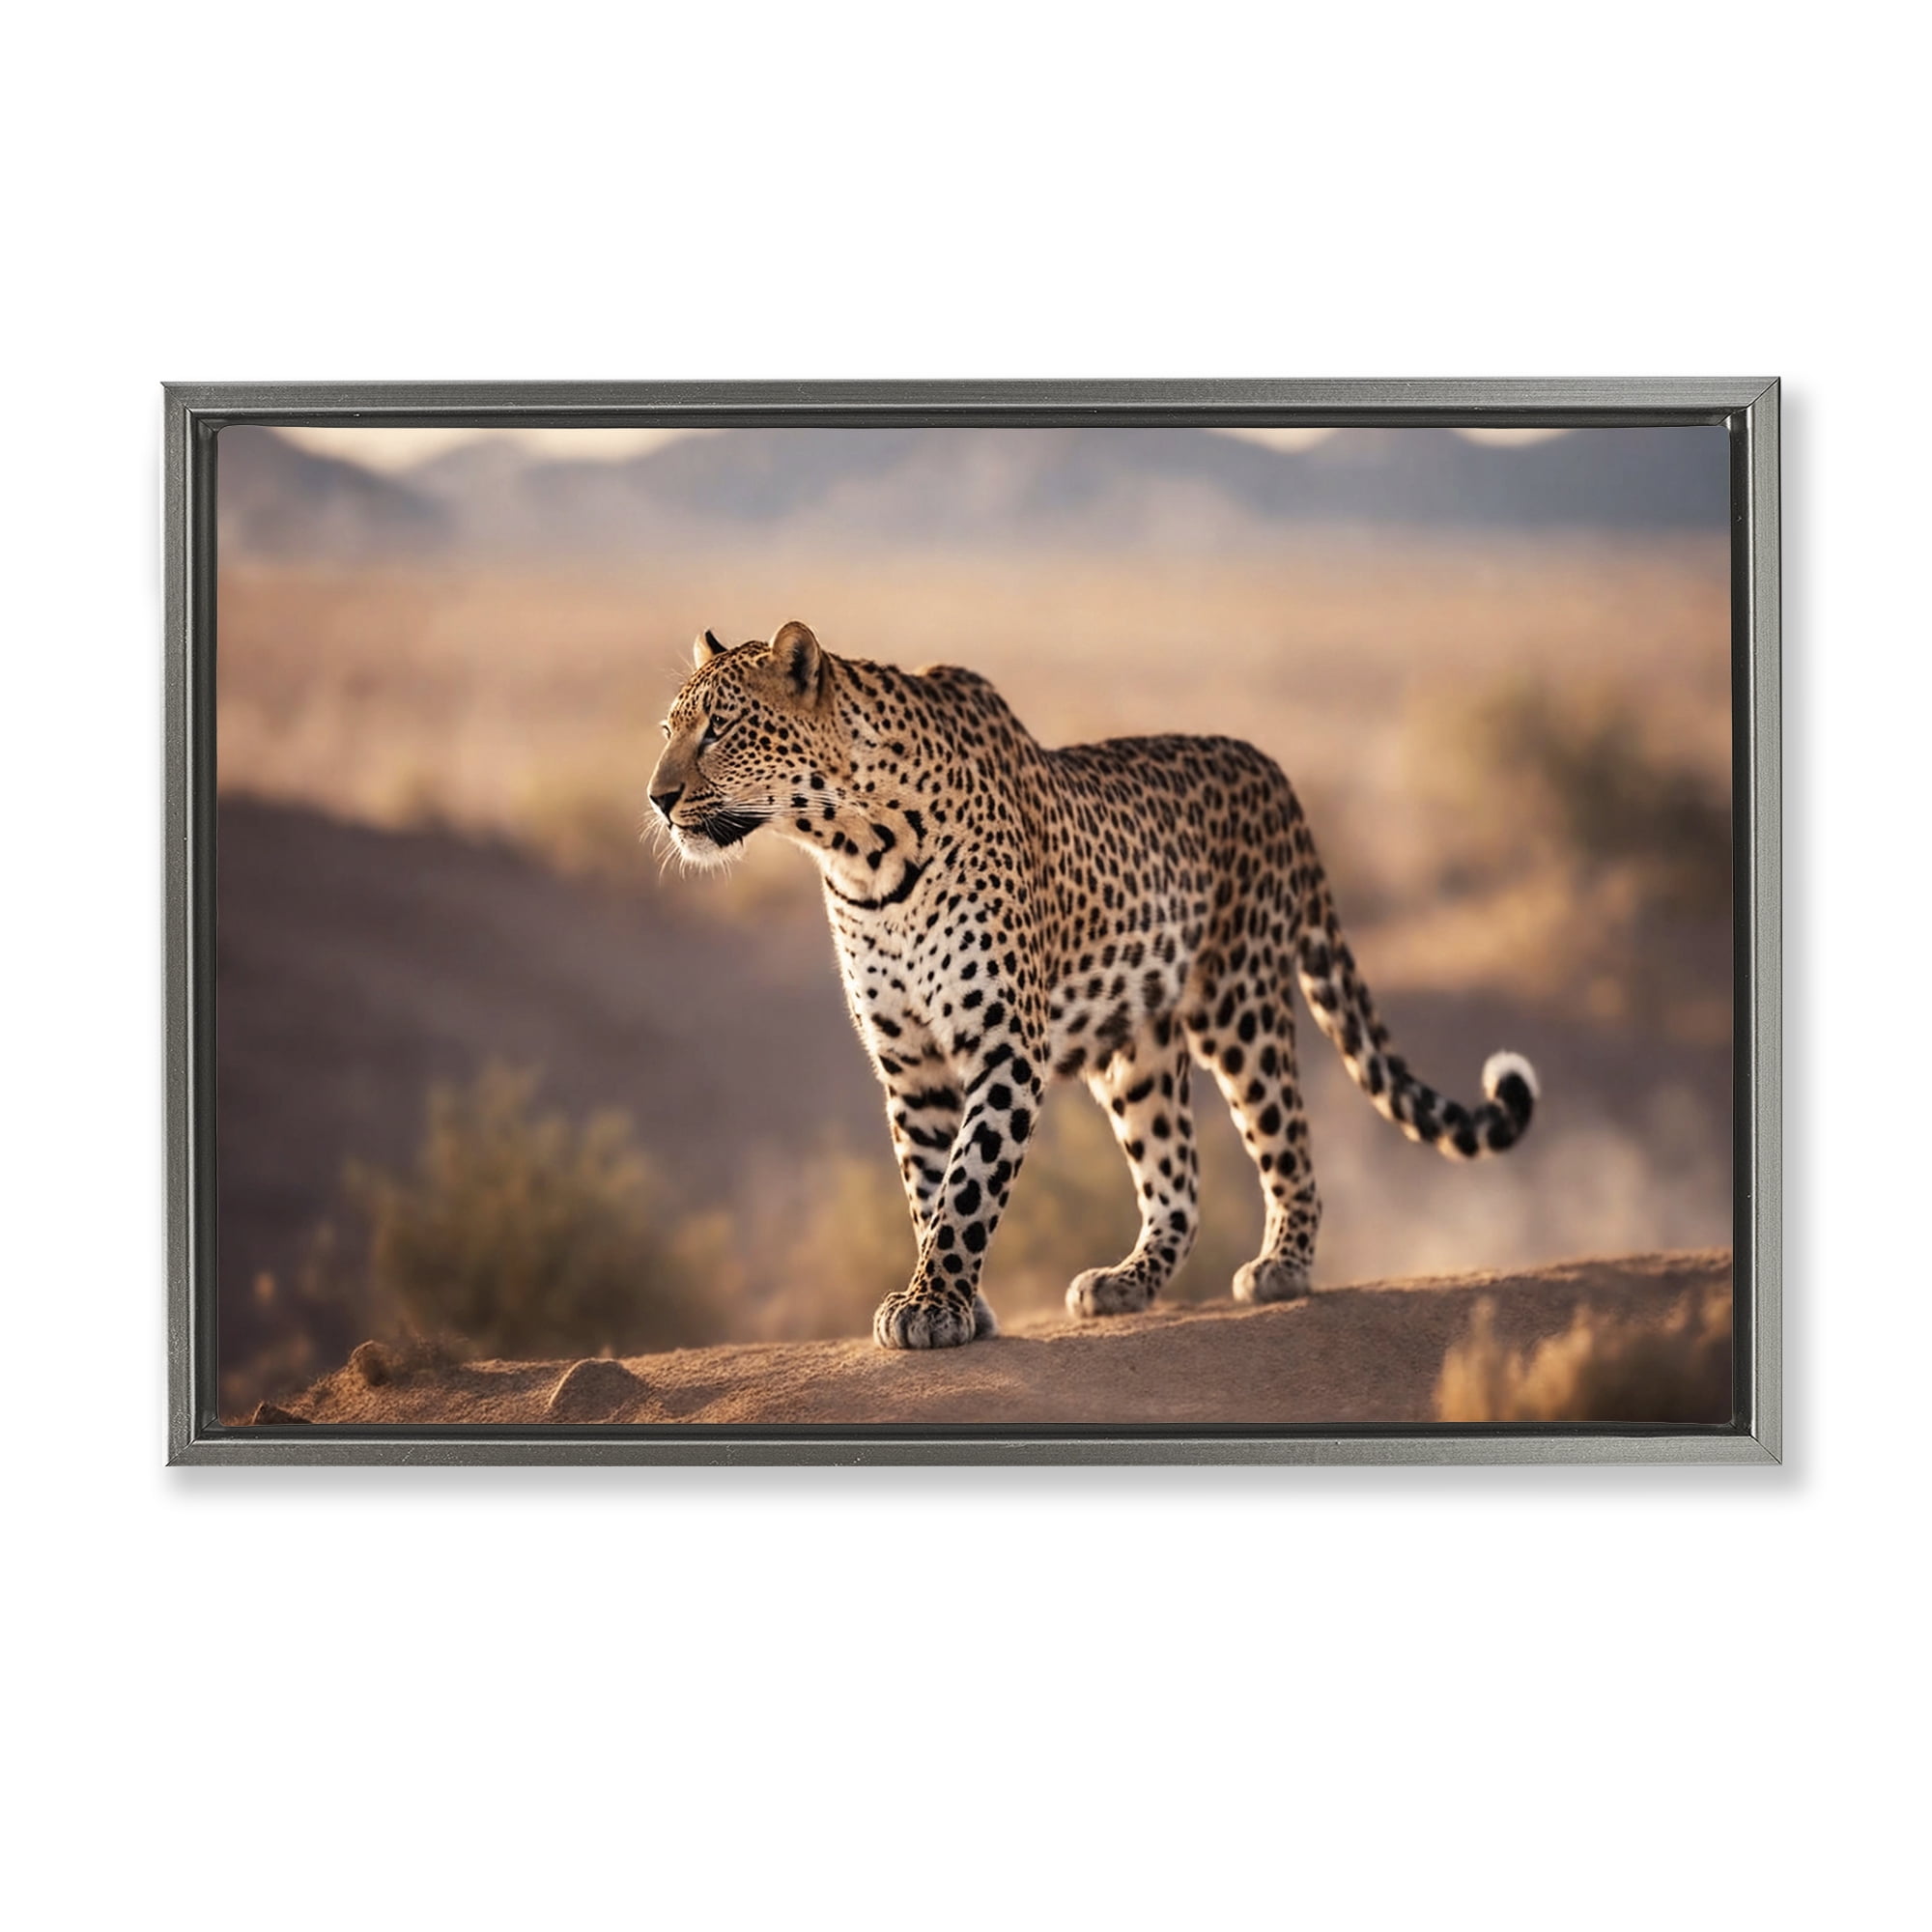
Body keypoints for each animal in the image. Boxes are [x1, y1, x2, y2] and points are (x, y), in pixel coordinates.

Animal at [648, 620, 1539, 1350]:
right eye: (668, 730)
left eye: (720, 729)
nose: (657, 798)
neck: (854, 851)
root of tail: (1273, 771)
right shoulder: (912, 1063)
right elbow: (928, 1183)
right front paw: (956, 1304)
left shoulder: (1004, 1045)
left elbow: (970, 1183)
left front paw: (934, 1306)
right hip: (1138, 1053)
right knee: (1178, 1180)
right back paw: (1126, 1282)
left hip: (1240, 1004)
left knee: (1287, 1138)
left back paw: (1282, 1267)